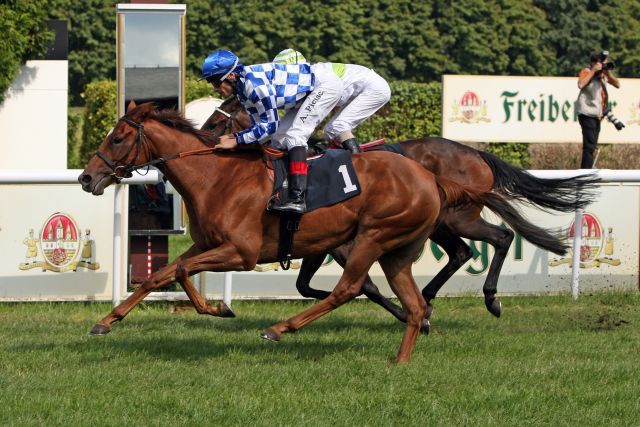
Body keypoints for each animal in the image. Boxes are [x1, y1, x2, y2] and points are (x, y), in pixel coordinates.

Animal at [77, 101, 508, 364]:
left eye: (117, 137)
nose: (86, 178)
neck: (216, 177)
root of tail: (430, 177)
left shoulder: (241, 253)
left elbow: (180, 272)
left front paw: (217, 308)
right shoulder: (206, 244)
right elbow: (159, 276)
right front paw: (107, 320)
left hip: (374, 236)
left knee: (349, 289)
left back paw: (278, 329)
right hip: (397, 251)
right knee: (415, 302)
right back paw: (402, 358)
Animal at [202, 98, 596, 324]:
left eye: (218, 120)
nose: (206, 140)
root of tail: (476, 153)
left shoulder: (340, 243)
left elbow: (362, 285)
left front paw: (404, 313)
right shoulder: (319, 241)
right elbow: (305, 285)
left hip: (459, 217)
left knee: (500, 237)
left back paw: (490, 298)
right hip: (440, 224)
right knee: (462, 252)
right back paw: (429, 298)